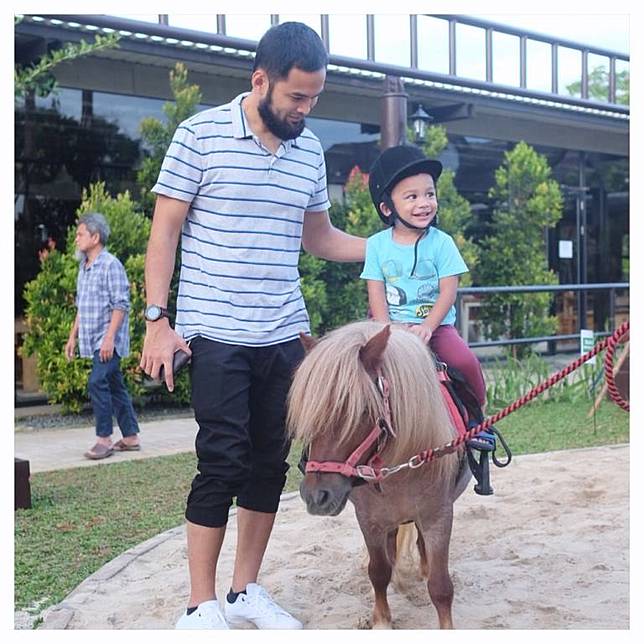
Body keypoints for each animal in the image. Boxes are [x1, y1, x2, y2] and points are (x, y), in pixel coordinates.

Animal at [290, 320, 470, 628]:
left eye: (363, 410)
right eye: (309, 411)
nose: (316, 496)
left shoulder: (438, 516)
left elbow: (441, 586)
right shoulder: (369, 520)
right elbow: (378, 571)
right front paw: (382, 620)